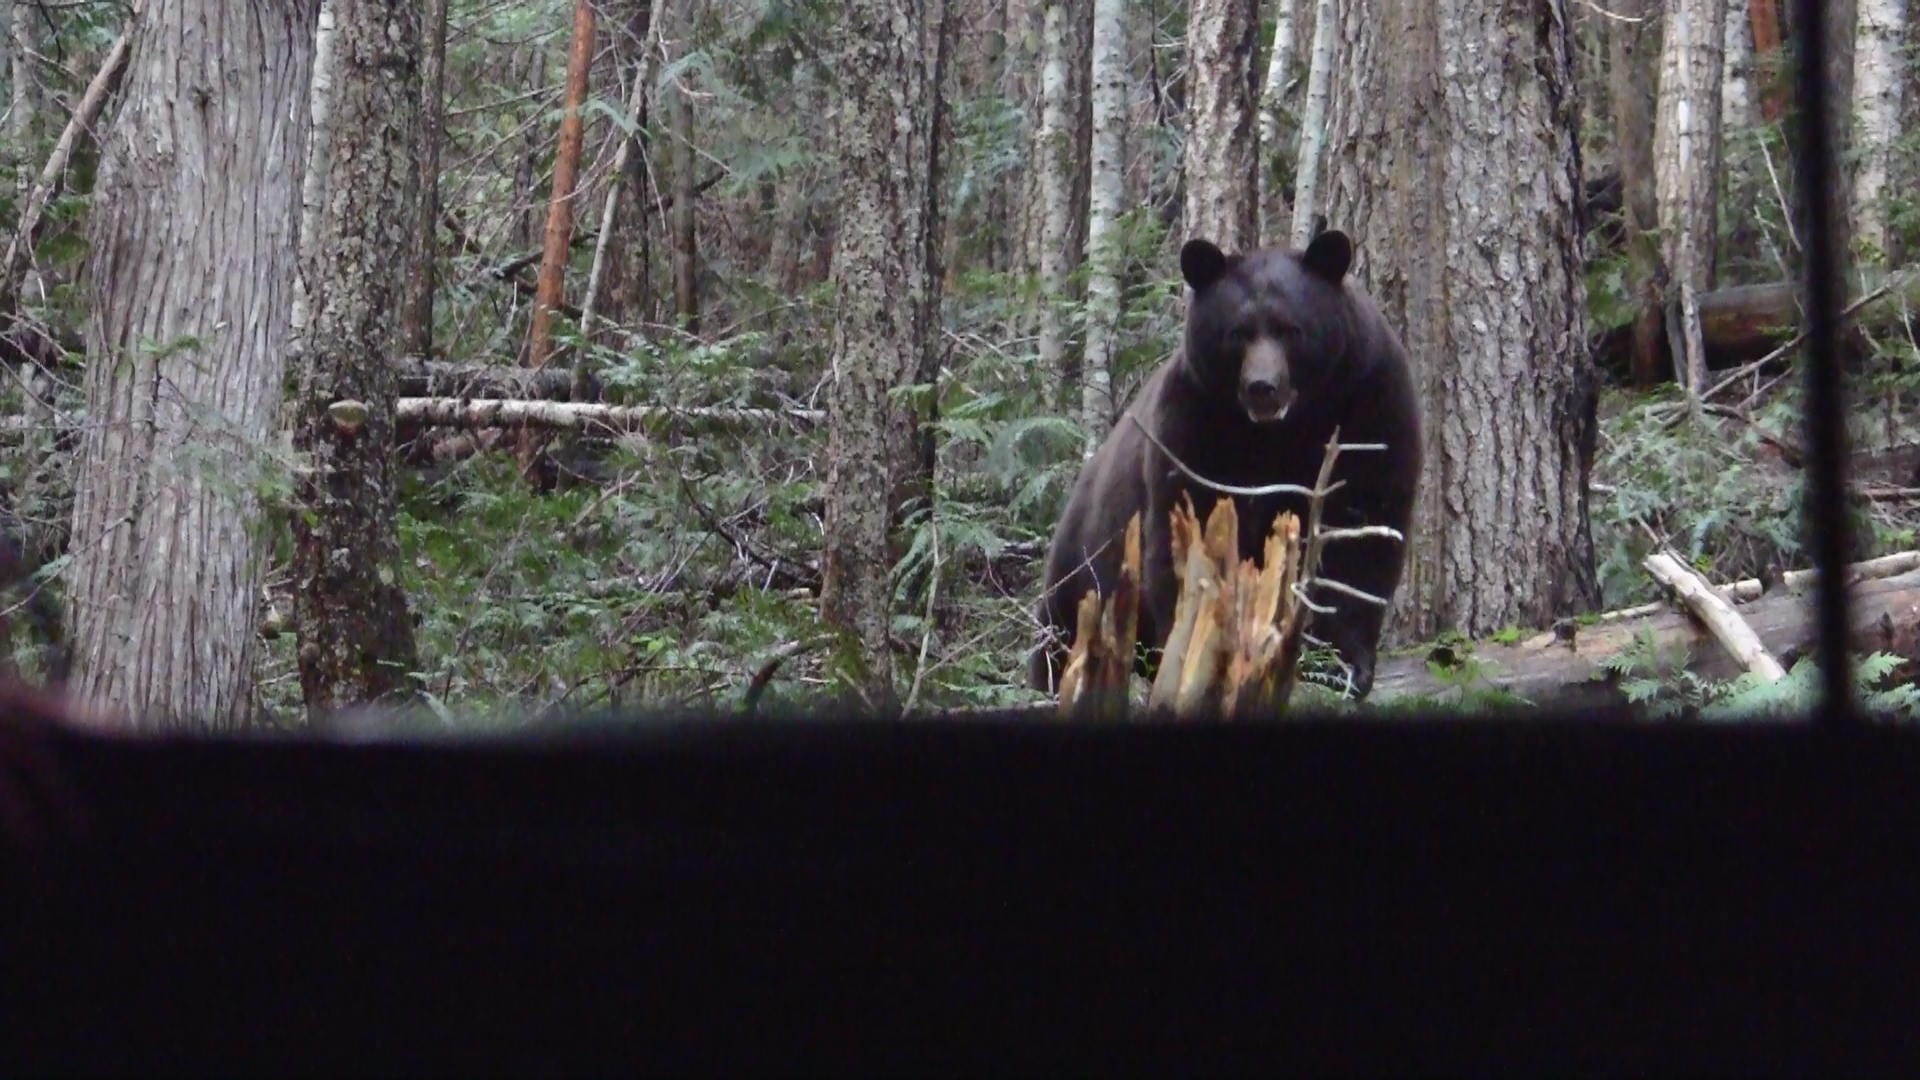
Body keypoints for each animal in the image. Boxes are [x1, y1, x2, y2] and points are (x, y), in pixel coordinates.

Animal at [1029, 227, 1420, 699]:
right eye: (1238, 332)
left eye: (1291, 329)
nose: (1262, 387)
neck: (1286, 428)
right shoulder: (1194, 423)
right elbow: (1190, 530)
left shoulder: (1370, 404)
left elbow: (1360, 533)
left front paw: (1340, 664)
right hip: (1082, 566)